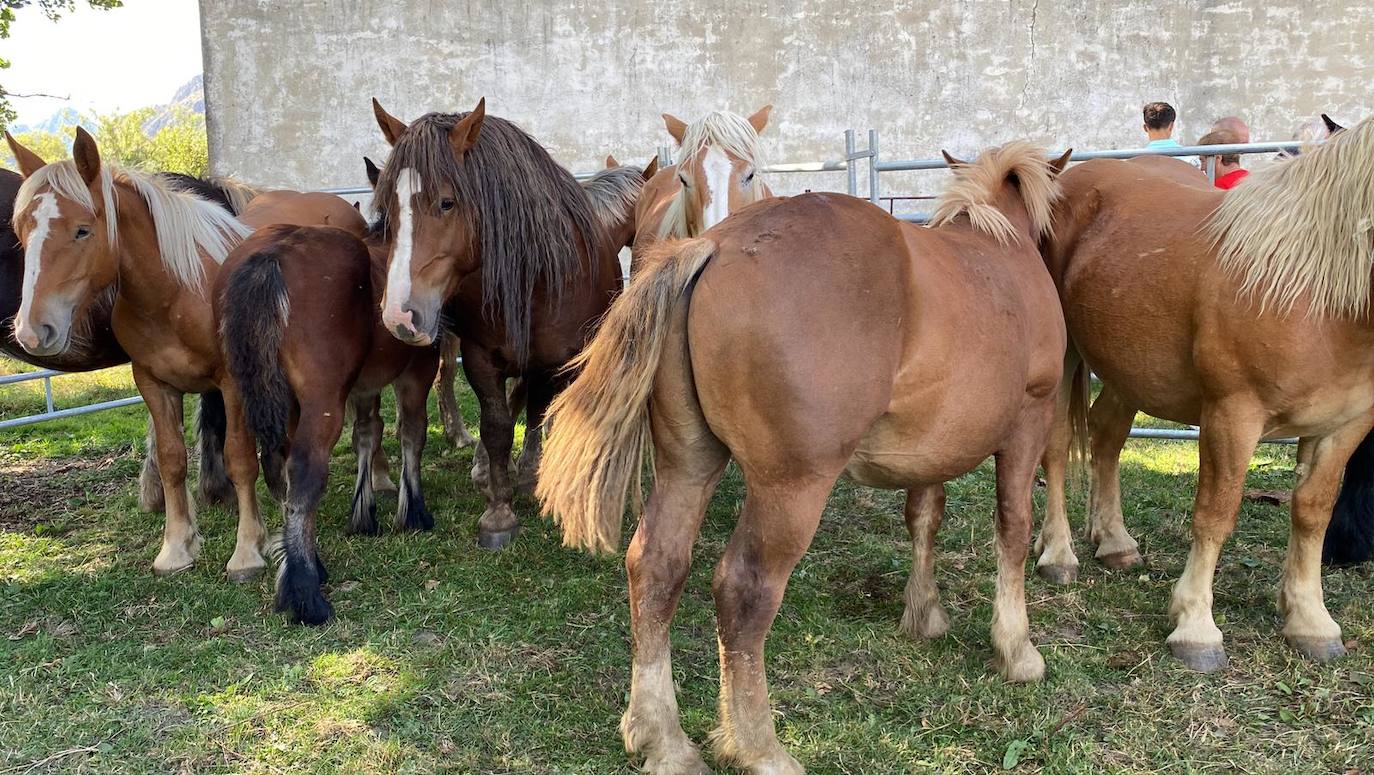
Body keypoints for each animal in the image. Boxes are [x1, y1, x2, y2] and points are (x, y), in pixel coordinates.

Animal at [5, 125, 368, 582]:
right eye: (20, 232)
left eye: (82, 230)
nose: (33, 331)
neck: (178, 291)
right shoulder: (153, 383)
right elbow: (171, 460)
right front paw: (176, 547)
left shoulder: (231, 384)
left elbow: (238, 458)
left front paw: (247, 550)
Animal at [217, 222, 436, 623]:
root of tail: (271, 254)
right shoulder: (417, 371)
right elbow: (412, 432)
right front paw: (413, 512)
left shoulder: (363, 387)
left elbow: (368, 433)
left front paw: (364, 515)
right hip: (322, 400)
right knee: (304, 470)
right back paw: (306, 594)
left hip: (244, 393)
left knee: (281, 469)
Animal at [368, 98, 621, 544]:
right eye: (386, 210)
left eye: (446, 202)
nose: (399, 316)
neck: (534, 281)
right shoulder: (481, 359)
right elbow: (497, 426)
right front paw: (498, 511)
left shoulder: (555, 361)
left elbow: (540, 412)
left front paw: (531, 478)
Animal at [535, 142, 1071, 769]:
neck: (1000, 247)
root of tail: (712, 246)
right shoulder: (1028, 424)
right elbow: (1012, 527)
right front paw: (1016, 647)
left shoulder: (931, 447)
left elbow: (924, 517)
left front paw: (924, 613)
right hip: (790, 488)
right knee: (743, 594)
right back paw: (759, 747)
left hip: (686, 465)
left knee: (656, 567)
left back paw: (662, 738)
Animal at [1033, 114, 1374, 673]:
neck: (1313, 288)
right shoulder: (1232, 416)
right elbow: (1216, 513)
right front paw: (1195, 626)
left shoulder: (1342, 426)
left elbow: (1313, 513)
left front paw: (1310, 620)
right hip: (1065, 357)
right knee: (1059, 446)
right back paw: (1058, 554)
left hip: (1130, 368)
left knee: (1107, 436)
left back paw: (1115, 542)